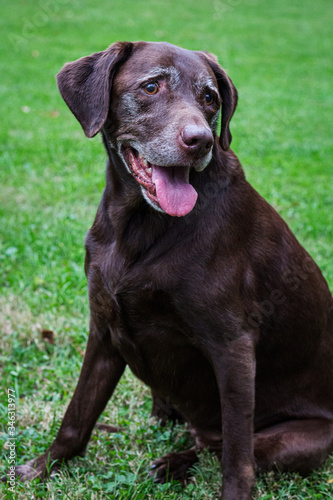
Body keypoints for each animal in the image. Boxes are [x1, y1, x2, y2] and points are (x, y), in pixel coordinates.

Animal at [13, 42, 332, 500]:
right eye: (151, 87)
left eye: (210, 98)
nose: (200, 141)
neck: (138, 225)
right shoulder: (104, 329)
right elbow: (77, 415)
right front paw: (42, 468)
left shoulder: (233, 347)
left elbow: (238, 457)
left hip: (299, 438)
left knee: (226, 447)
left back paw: (175, 462)